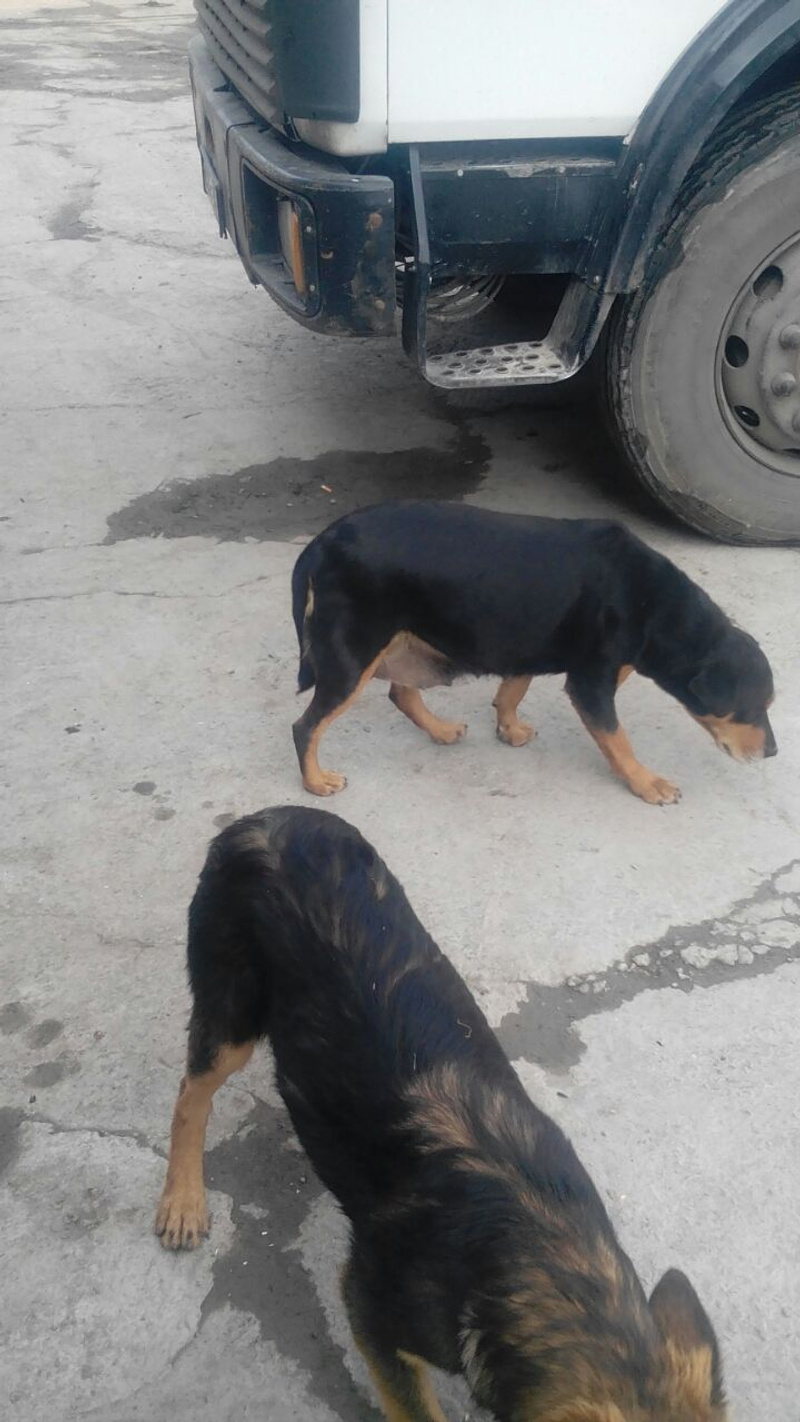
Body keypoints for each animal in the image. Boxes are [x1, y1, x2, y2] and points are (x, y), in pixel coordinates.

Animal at [156, 807, 728, 1421]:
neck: (547, 1256)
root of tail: (262, 817)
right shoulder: (371, 1310)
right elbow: (417, 1408)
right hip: (231, 1017)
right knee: (190, 1095)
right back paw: (182, 1201)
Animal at [290, 501, 776, 804]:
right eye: (752, 706)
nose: (772, 753)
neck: (653, 602)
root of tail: (321, 542)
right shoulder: (591, 683)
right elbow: (618, 740)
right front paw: (647, 783)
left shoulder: (527, 643)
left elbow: (512, 691)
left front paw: (509, 729)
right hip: (353, 658)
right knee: (305, 727)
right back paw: (315, 781)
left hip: (402, 640)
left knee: (402, 694)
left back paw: (441, 730)